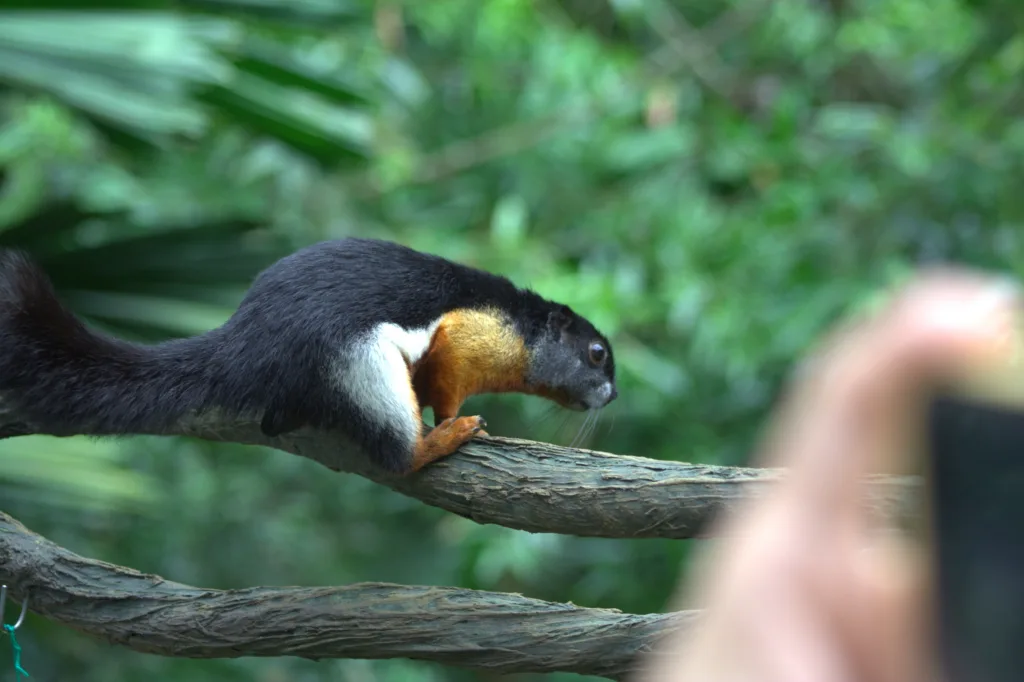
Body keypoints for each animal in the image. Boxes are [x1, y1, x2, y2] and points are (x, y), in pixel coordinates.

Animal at [0, 237, 617, 475]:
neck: (522, 332)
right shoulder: (468, 336)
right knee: (398, 452)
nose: (612, 395)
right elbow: (445, 382)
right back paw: (441, 439)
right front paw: (452, 418)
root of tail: (246, 345)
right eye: (595, 354)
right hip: (358, 364)